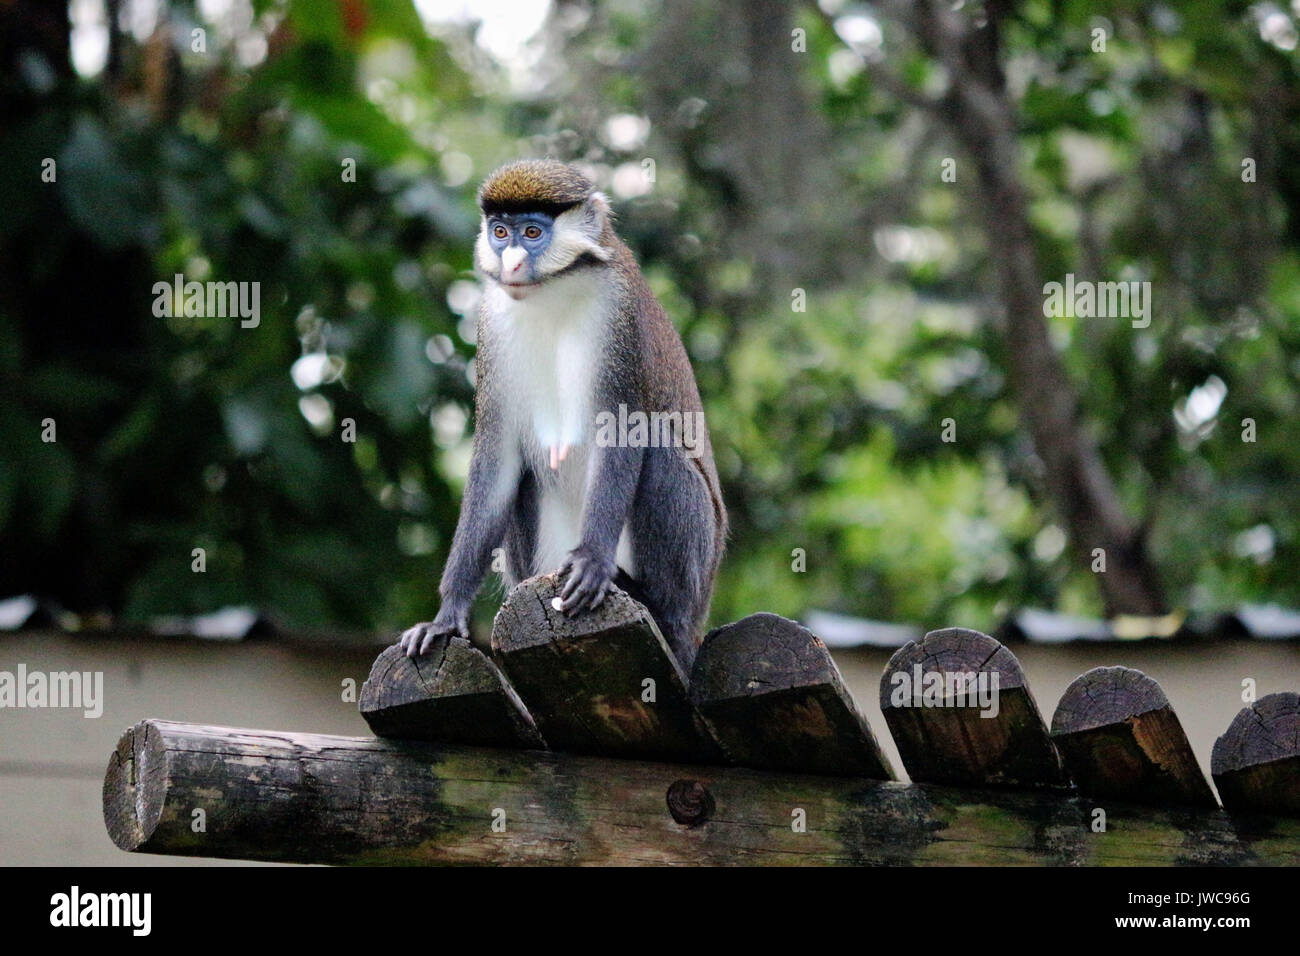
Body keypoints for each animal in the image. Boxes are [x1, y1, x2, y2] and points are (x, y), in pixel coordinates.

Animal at [398, 159, 727, 670]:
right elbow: (498, 462)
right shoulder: (491, 324)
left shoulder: (619, 319)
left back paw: (652, 603)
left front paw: (592, 560)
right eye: (500, 232)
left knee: (658, 446)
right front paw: (446, 616)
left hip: (696, 573)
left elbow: (624, 431)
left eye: (533, 232)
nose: (511, 262)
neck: (553, 291)